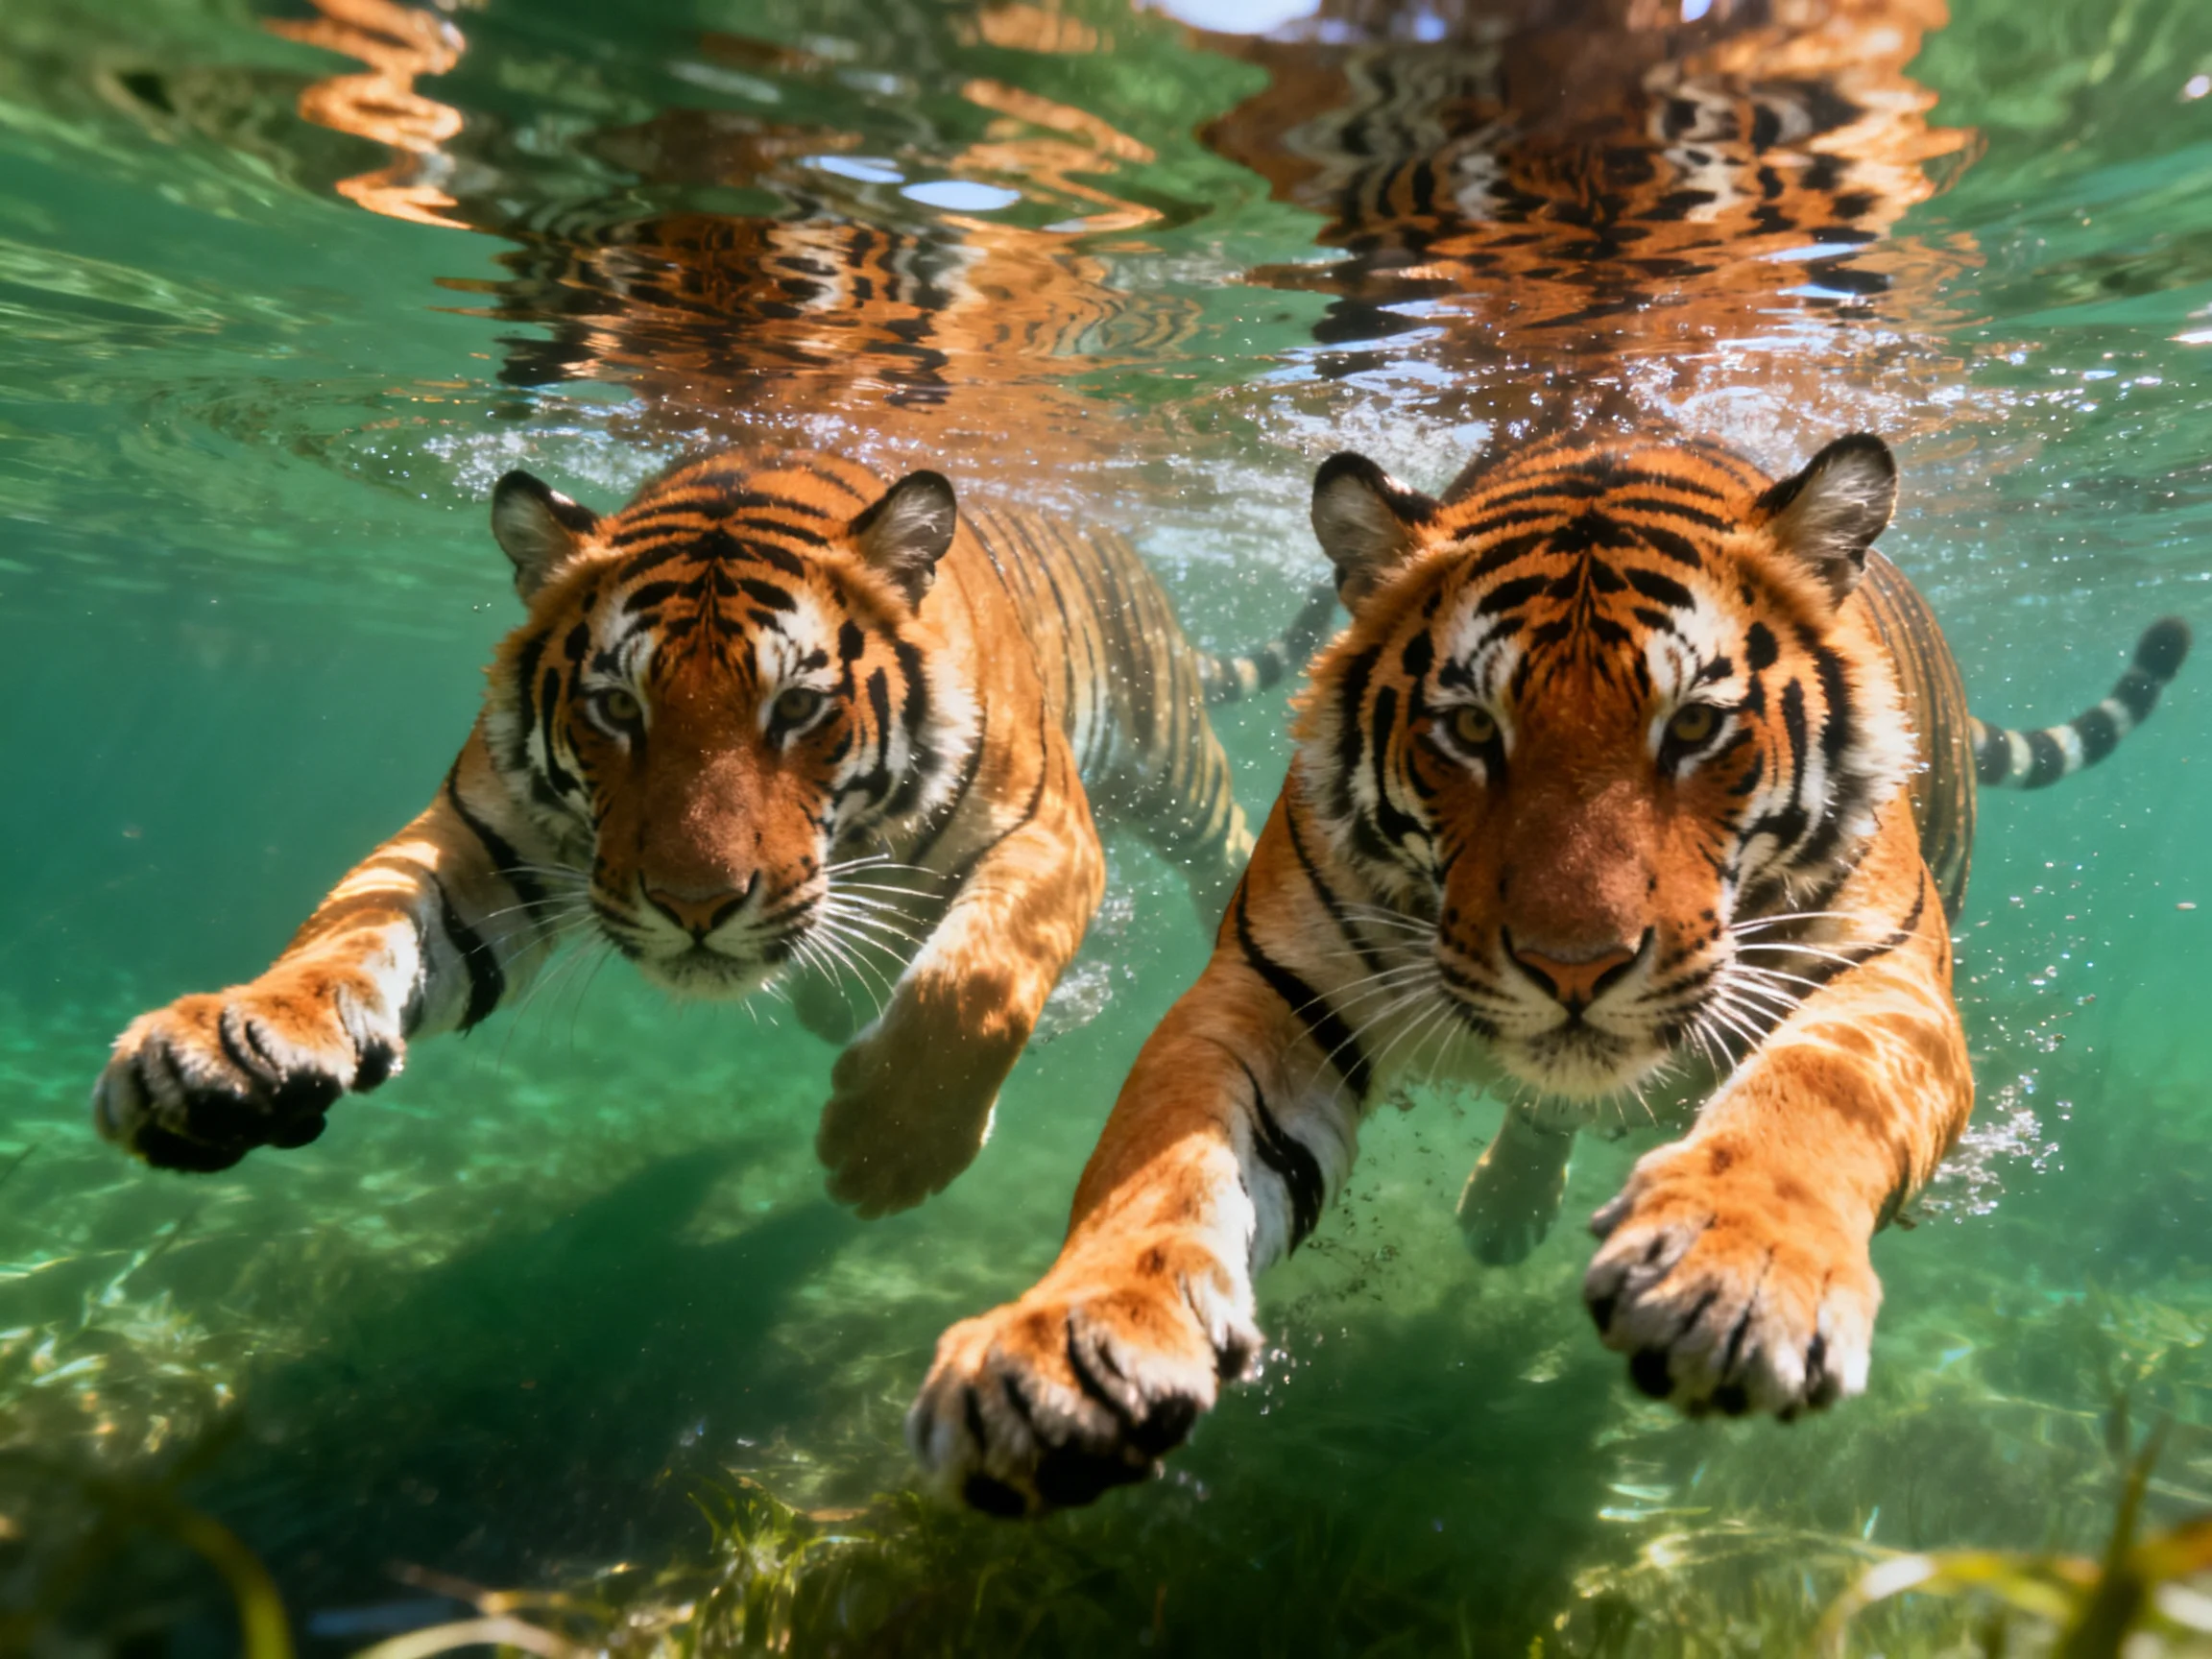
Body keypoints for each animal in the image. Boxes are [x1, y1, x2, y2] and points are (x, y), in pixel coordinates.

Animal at [92, 449, 1333, 1216]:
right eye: (614, 708)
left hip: (1174, 770)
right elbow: (354, 927)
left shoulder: (1050, 835)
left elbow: (977, 979)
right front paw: (224, 1050)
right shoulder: (484, 839)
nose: (695, 906)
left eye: (799, 708)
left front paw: (887, 1153)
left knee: (1228, 850)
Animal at [907, 429, 2189, 1515]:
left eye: (1695, 728)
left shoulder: (1887, 981)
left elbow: (1811, 1099)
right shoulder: (1272, 990)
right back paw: (1503, 1209)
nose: (1577, 966)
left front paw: (1737, 1274)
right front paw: (1068, 1349)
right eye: (1473, 730)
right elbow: (1158, 1165)